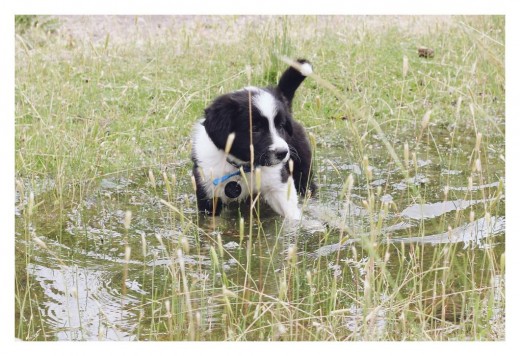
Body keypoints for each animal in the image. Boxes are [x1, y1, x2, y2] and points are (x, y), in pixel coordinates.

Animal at [190, 59, 314, 220]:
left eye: (280, 126)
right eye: (255, 128)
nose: (282, 153)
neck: (243, 167)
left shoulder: (279, 183)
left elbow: (290, 213)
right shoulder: (208, 193)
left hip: (303, 169)